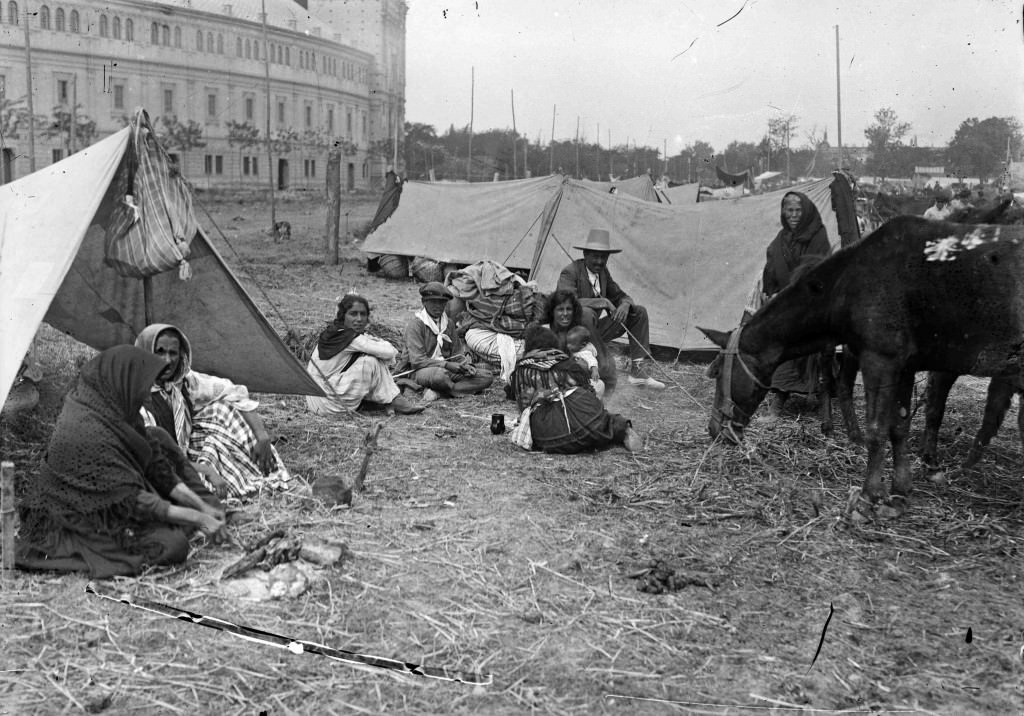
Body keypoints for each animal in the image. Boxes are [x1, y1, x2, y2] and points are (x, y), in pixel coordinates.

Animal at [700, 216, 1024, 518]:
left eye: (717, 372)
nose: (714, 429)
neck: (849, 284)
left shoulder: (880, 361)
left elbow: (877, 429)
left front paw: (868, 497)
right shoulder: (903, 368)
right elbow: (899, 427)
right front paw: (898, 493)